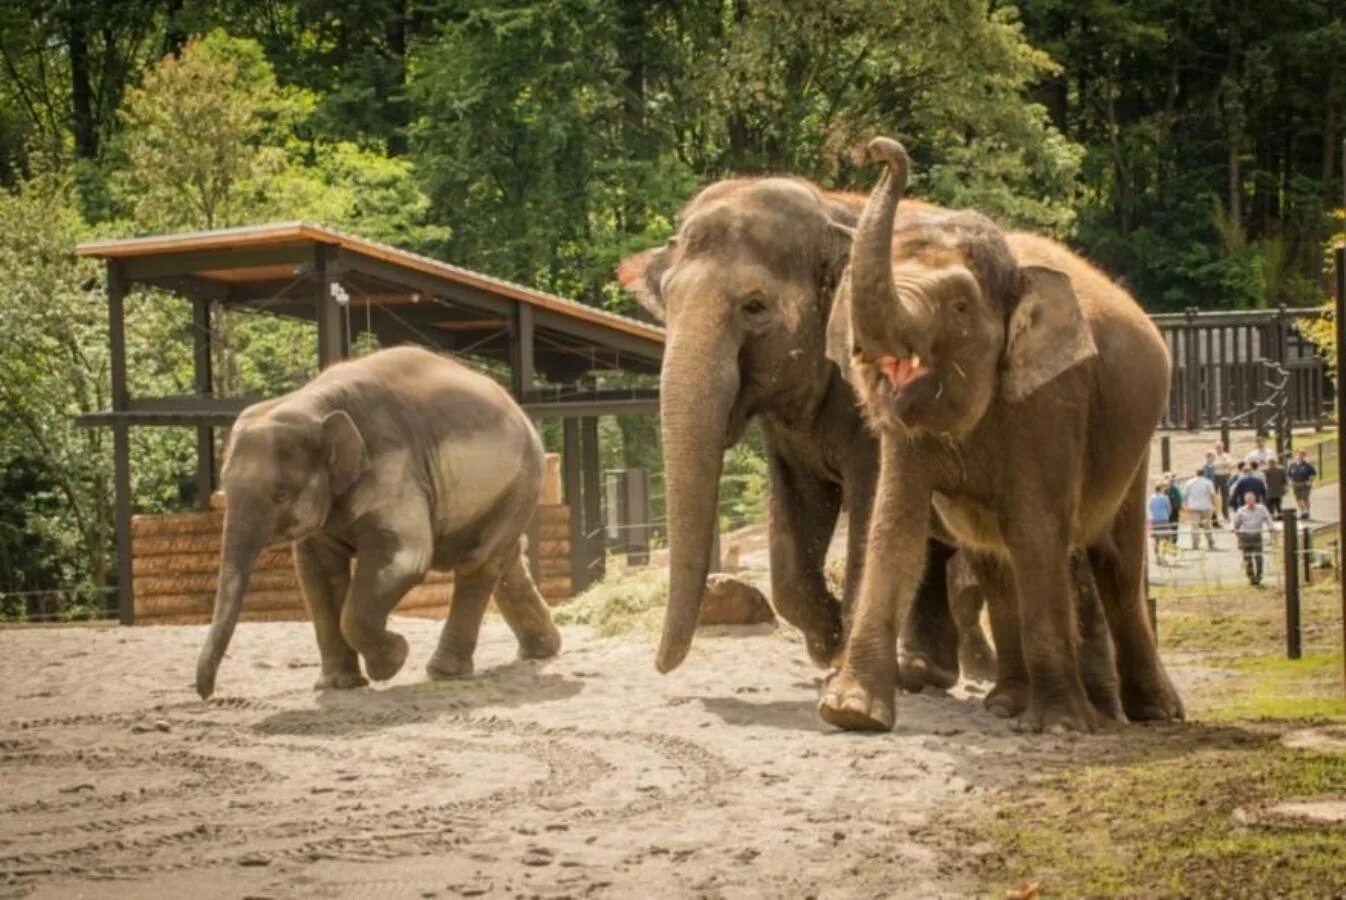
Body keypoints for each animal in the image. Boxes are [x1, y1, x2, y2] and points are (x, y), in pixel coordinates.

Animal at [195, 340, 562, 699]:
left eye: (281, 494)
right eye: (224, 485)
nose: (206, 693)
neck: (313, 405)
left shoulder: (394, 466)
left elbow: (405, 559)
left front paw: (392, 660)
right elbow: (317, 571)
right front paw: (339, 685)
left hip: (522, 479)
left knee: (479, 562)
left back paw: (443, 672)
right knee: (504, 559)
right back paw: (542, 650)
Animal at [616, 173, 985, 680]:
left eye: (754, 306)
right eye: (667, 303)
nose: (661, 667)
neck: (831, 210)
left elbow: (871, 503)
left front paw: (840, 657)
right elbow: (797, 518)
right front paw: (827, 643)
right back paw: (925, 671)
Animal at [812, 138, 1184, 731]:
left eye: (961, 306)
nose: (877, 148)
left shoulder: (1052, 401)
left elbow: (1037, 530)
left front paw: (1060, 725)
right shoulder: (907, 433)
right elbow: (896, 530)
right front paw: (851, 713)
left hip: (1137, 449)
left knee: (1117, 566)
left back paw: (1150, 712)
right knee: (996, 561)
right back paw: (1010, 701)